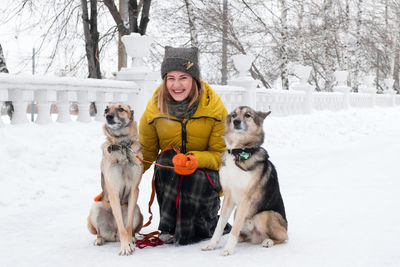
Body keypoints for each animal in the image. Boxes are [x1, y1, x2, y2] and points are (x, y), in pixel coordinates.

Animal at [87, 103, 144, 256]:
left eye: (120, 109)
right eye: (106, 109)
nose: (108, 116)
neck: (122, 145)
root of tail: (113, 235)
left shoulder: (134, 190)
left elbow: (127, 227)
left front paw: (129, 243)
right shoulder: (113, 191)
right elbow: (122, 226)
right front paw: (125, 247)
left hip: (137, 210)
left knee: (130, 229)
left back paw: (133, 239)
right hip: (95, 207)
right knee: (100, 232)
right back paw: (99, 239)